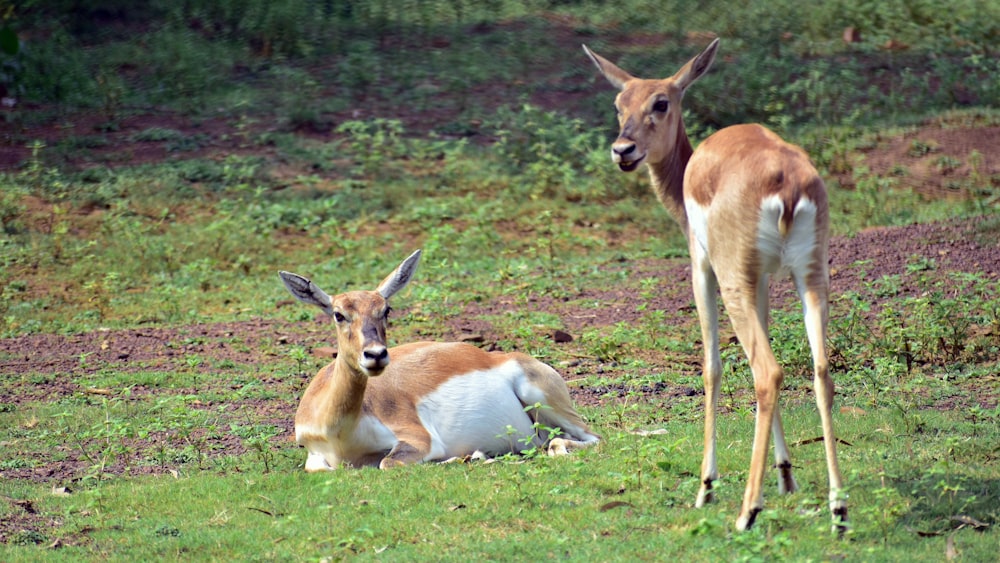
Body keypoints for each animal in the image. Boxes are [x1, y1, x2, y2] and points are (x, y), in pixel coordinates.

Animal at [278, 251, 596, 472]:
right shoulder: (314, 454)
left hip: (542, 399)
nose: (376, 355)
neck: (341, 432)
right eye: (338, 314)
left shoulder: (419, 439)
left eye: (386, 309)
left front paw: (469, 457)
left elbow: (388, 463)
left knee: (586, 438)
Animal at [584, 37, 848, 532]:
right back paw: (839, 509)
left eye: (661, 102)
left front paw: (706, 486)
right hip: (810, 277)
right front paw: (786, 475)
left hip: (731, 280)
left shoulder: (701, 267)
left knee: (768, 371)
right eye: (618, 103)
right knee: (820, 371)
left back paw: (747, 511)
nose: (623, 149)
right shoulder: (761, 280)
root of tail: (787, 182)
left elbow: (711, 366)